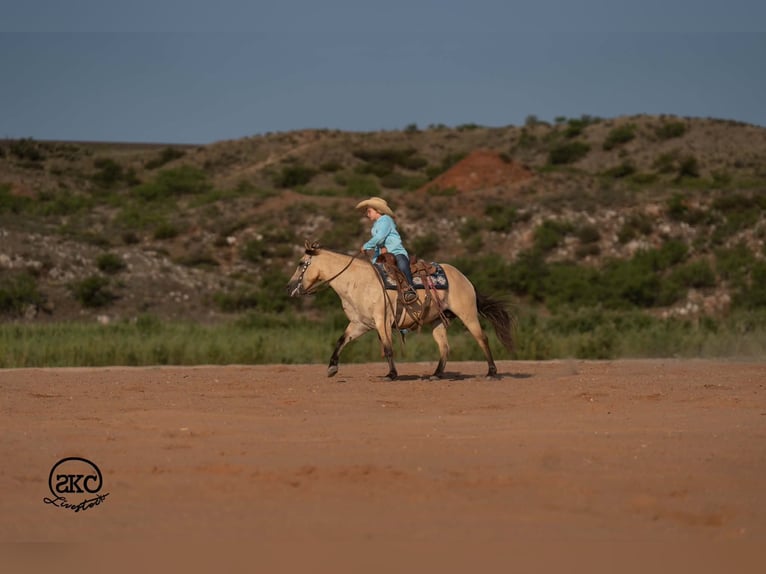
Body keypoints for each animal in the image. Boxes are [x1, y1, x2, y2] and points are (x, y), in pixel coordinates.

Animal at [286, 241, 514, 380]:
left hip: (468, 314)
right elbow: (341, 340)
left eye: (301, 263)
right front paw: (332, 368)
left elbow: (388, 348)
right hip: (437, 321)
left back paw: (491, 372)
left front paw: (392, 374)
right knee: (444, 347)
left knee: (482, 338)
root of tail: (465, 278)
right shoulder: (360, 324)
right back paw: (436, 374)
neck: (358, 282)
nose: (288, 287)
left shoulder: (382, 321)